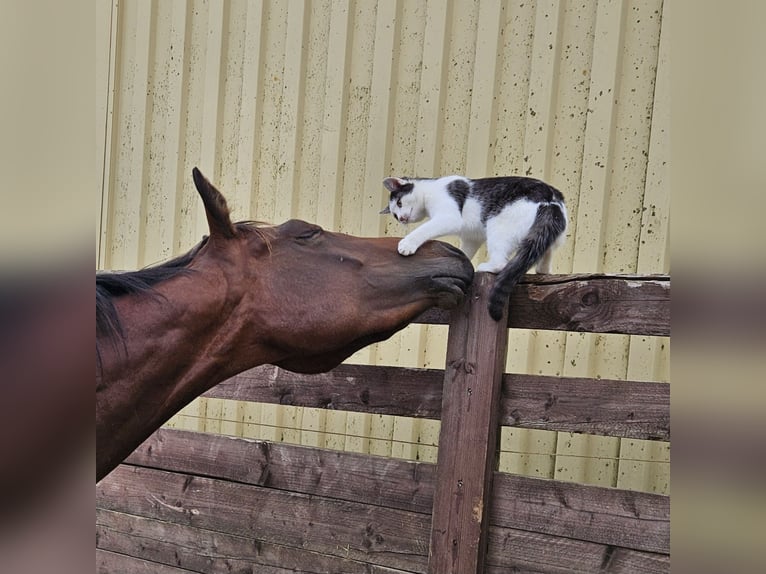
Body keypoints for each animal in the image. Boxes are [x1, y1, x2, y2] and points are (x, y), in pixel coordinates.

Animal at [380, 176, 568, 322]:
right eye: (395, 215)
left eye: (399, 202)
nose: (401, 218)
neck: (431, 189)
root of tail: (551, 198)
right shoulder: (471, 237)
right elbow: (465, 252)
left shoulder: (449, 217)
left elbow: (424, 229)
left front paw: (407, 244)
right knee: (545, 251)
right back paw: (543, 270)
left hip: (497, 225)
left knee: (501, 264)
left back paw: (486, 267)